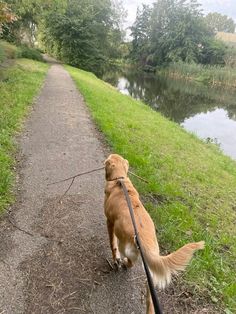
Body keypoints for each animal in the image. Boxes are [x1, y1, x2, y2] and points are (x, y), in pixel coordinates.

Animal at [104, 153, 204, 312]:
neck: (119, 180)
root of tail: (146, 243)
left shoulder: (110, 222)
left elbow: (112, 244)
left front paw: (115, 259)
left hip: (125, 247)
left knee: (130, 262)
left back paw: (124, 263)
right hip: (150, 274)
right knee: (150, 299)